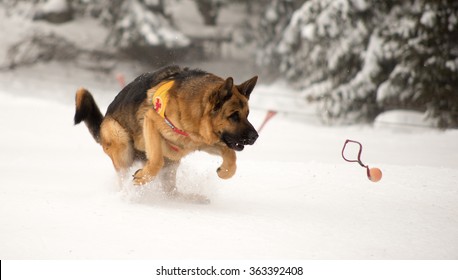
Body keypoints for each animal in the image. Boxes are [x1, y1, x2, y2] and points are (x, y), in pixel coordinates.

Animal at [73, 65, 256, 192]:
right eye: (233, 116)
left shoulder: (203, 142)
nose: (255, 136)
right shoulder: (151, 121)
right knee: (126, 177)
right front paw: (142, 178)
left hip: (172, 164)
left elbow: (231, 156)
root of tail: (103, 122)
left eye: (247, 114)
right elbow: (156, 160)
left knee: (171, 192)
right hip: (121, 141)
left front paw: (224, 171)